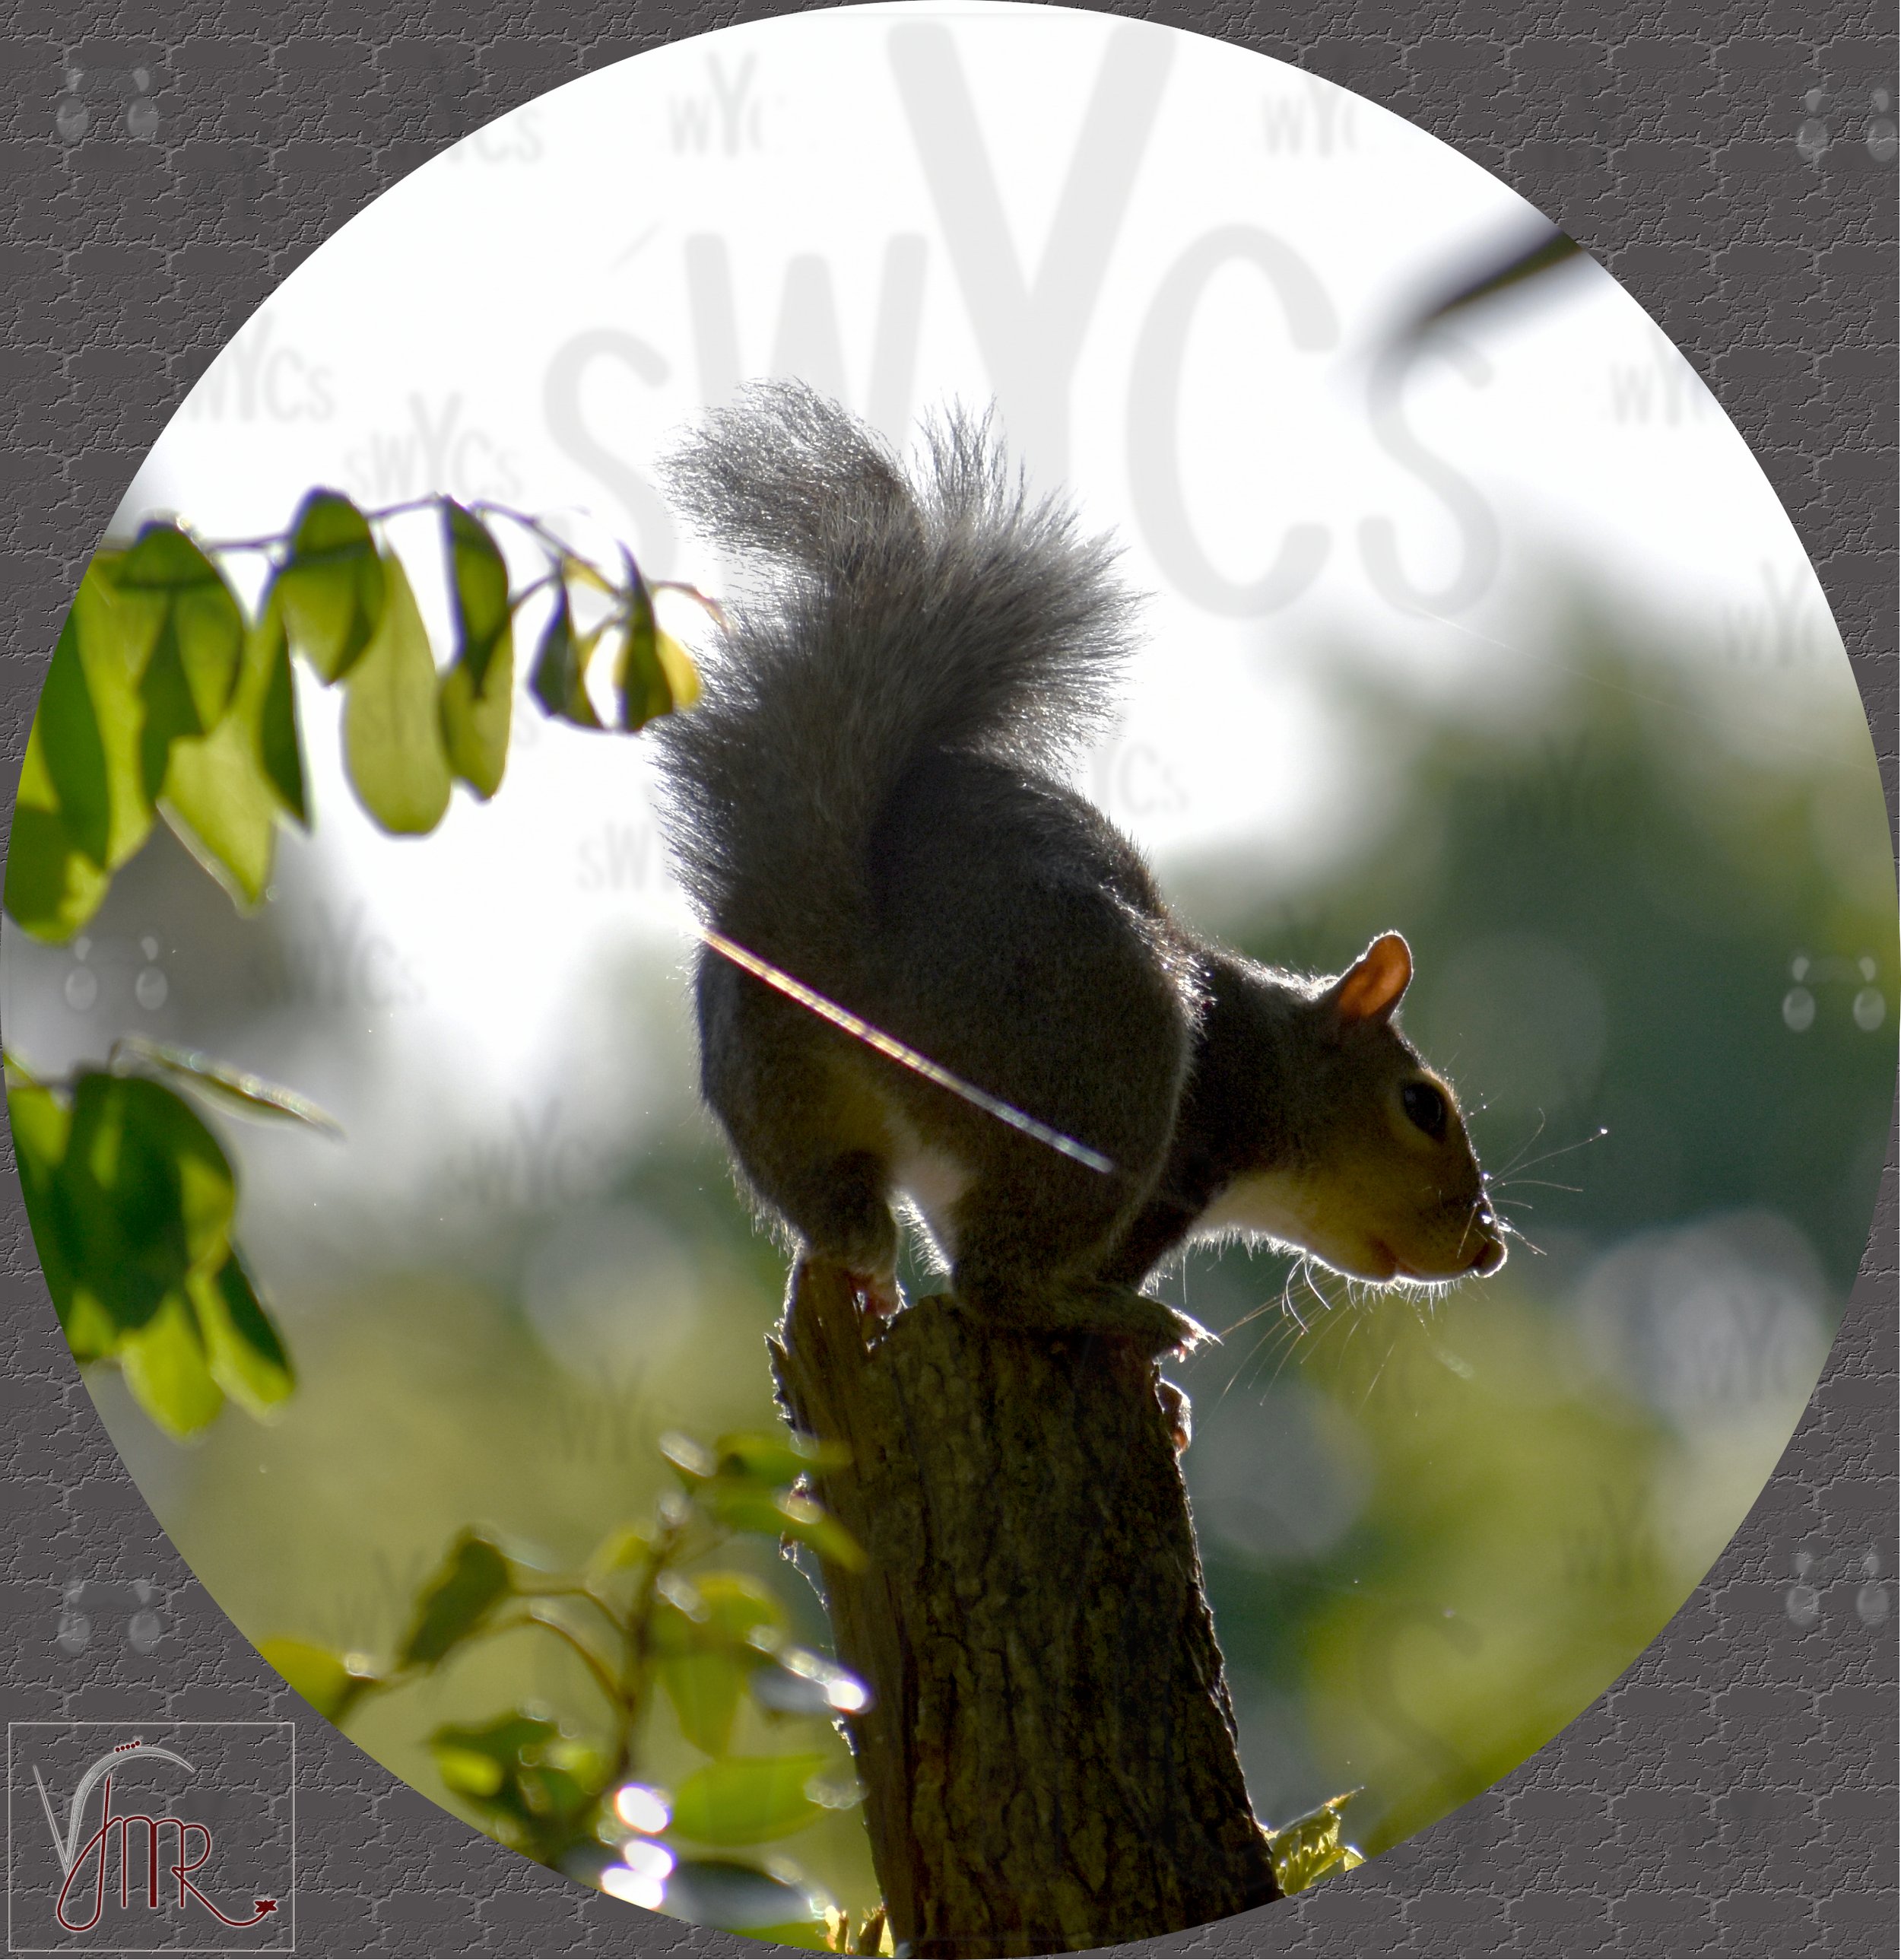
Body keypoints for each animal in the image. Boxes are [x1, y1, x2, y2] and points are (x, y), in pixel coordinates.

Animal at [649, 381, 1504, 1367]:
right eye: (1422, 1106)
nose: (1486, 1246)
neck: (1270, 1062)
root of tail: (843, 953)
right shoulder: (1179, 1171)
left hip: (781, 1107)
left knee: (851, 1230)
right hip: (1096, 1078)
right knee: (994, 1283)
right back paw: (1117, 1316)